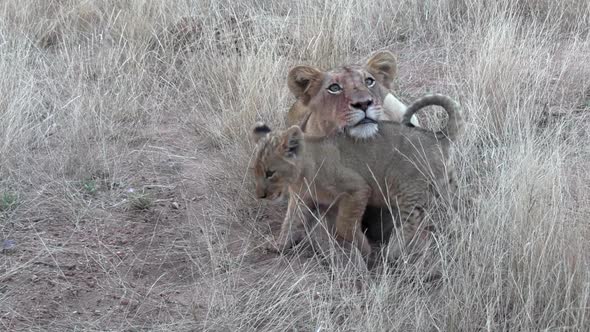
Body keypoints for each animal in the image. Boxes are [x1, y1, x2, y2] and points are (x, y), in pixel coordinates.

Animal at [250, 93, 462, 262]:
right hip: (446, 185)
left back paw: (392, 252)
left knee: (411, 220)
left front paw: (365, 249)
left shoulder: (358, 188)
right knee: (455, 208)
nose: (260, 195)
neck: (301, 175)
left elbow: (344, 225)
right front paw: (278, 246)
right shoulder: (301, 200)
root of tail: (437, 136)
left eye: (270, 173)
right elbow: (290, 223)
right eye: (256, 171)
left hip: (405, 185)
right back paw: (457, 228)